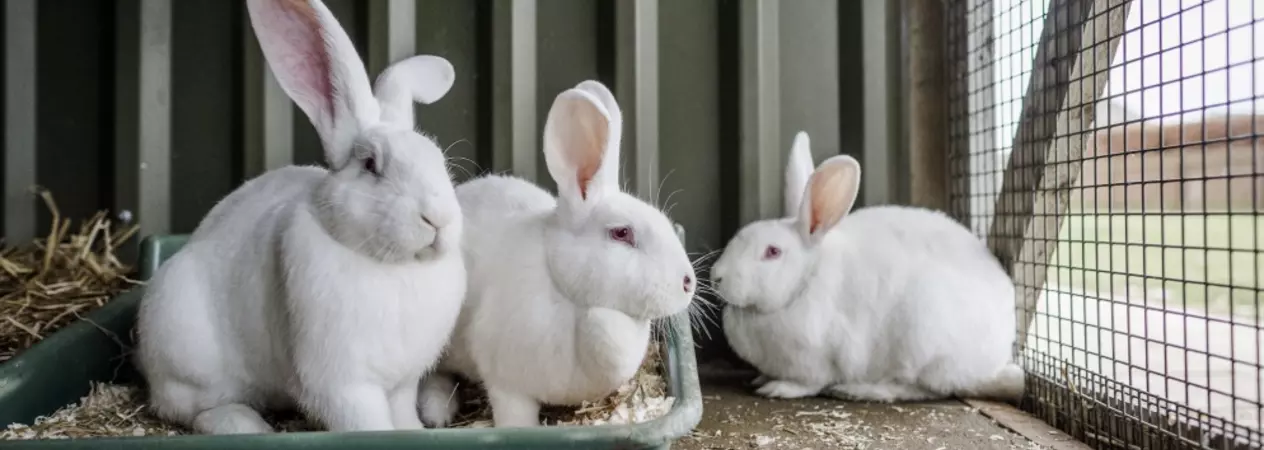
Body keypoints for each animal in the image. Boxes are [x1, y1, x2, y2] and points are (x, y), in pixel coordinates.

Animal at [134, 0, 466, 434]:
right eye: (371, 165)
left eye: (438, 160)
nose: (438, 218)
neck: (393, 267)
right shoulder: (342, 385)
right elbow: (367, 422)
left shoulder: (402, 383)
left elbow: (402, 414)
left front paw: (414, 431)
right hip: (189, 362)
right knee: (192, 409)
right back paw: (246, 425)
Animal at [415, 80, 697, 428]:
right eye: (622, 233)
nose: (689, 283)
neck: (573, 298)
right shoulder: (507, 383)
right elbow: (514, 416)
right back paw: (437, 411)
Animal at [712, 131, 1025, 403]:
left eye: (773, 252)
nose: (716, 276)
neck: (804, 282)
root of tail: (997, 354)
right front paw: (761, 379)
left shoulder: (816, 359)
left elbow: (808, 383)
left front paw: (778, 388)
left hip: (922, 344)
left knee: (921, 389)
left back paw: (859, 390)